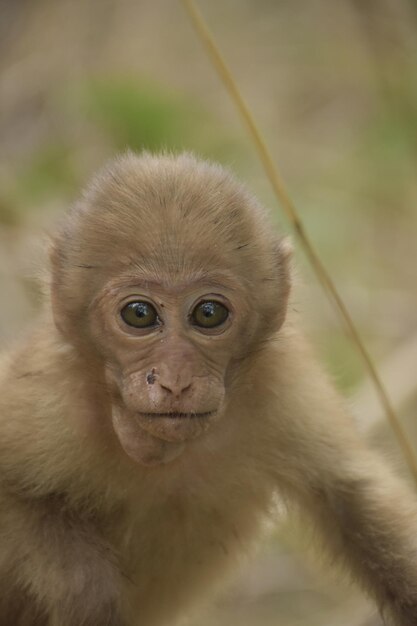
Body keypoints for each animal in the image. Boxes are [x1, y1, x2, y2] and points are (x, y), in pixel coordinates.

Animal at [0, 152, 416, 624]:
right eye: (139, 314)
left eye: (209, 313)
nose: (175, 379)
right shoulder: (47, 397)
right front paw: (87, 588)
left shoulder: (284, 382)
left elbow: (349, 496)